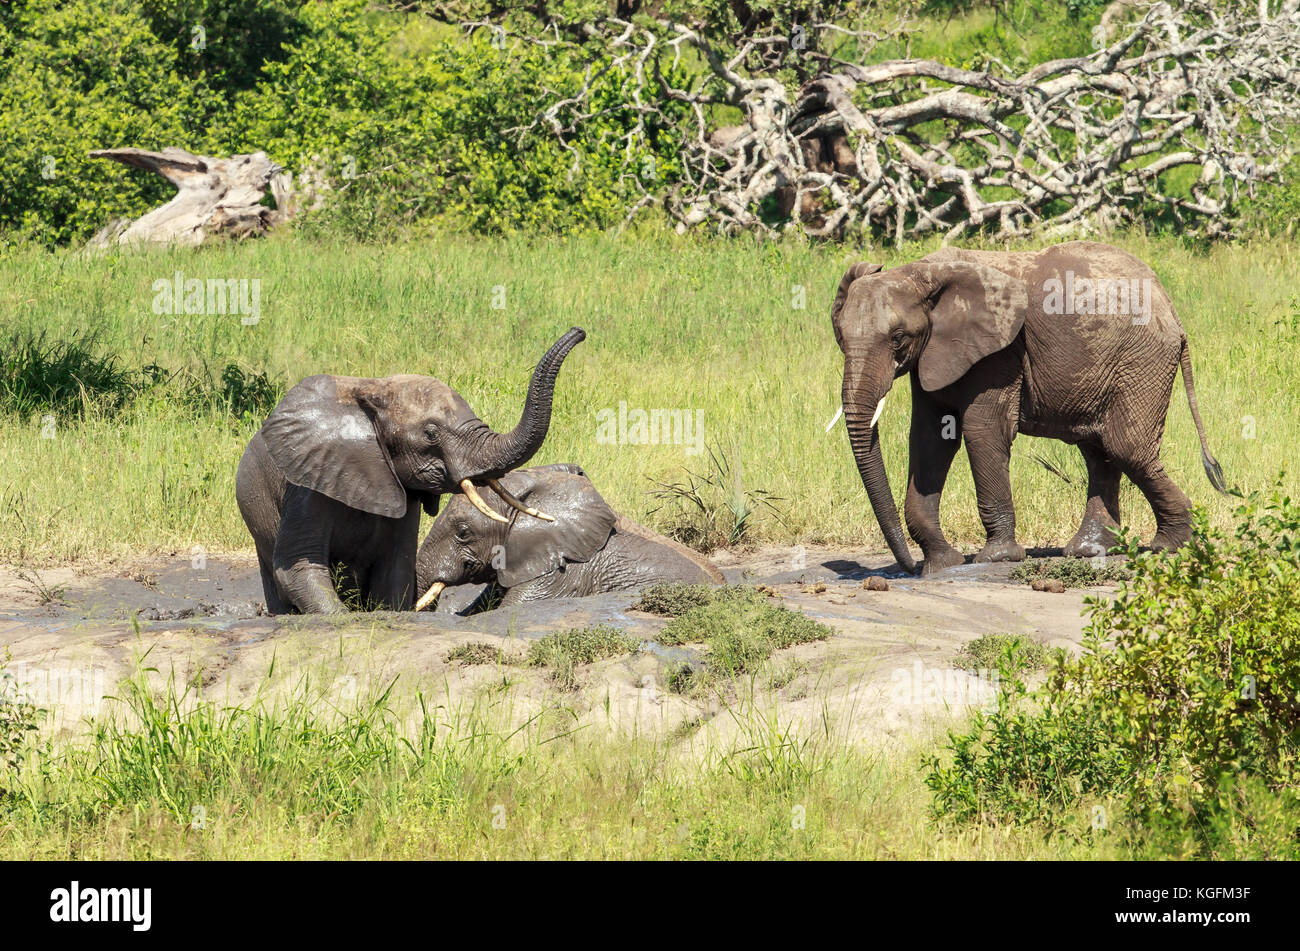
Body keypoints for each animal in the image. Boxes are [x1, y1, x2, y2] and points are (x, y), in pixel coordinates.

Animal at [236, 327, 587, 613]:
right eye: (431, 433)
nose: (579, 332)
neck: (372, 390)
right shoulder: (307, 482)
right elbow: (298, 570)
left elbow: (395, 571)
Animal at [832, 241, 1227, 576]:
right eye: (840, 338)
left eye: (898, 339)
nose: (909, 567)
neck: (920, 272)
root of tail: (1170, 307)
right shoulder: (936, 353)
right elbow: (931, 438)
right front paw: (943, 564)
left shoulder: (1001, 353)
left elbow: (982, 431)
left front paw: (996, 558)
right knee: (1099, 450)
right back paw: (1090, 551)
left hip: (1142, 359)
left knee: (1126, 448)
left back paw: (1171, 544)